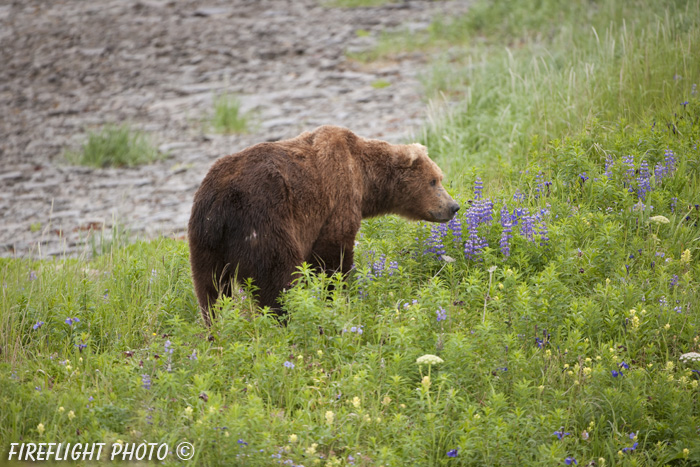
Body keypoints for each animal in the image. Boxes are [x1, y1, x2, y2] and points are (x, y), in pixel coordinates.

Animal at [186, 126, 460, 328]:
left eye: (439, 177)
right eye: (433, 181)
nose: (453, 206)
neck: (365, 178)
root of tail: (220, 200)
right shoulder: (335, 198)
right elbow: (333, 255)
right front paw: (337, 294)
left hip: (205, 239)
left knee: (210, 288)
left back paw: (216, 325)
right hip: (263, 221)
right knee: (278, 275)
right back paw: (293, 317)